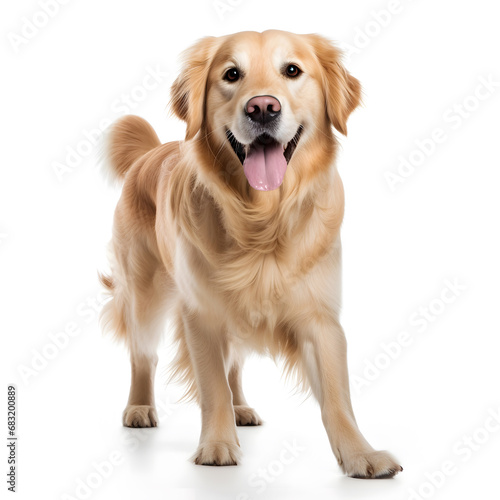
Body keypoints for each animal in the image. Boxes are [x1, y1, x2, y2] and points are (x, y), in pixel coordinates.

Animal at [98, 29, 402, 478]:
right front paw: (217, 445)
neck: (262, 221)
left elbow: (337, 397)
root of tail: (149, 153)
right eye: (231, 74)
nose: (262, 108)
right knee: (143, 355)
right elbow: (212, 389)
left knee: (234, 366)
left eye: (292, 70)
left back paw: (242, 408)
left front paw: (361, 455)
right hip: (145, 293)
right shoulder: (202, 315)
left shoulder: (320, 319)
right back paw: (139, 408)